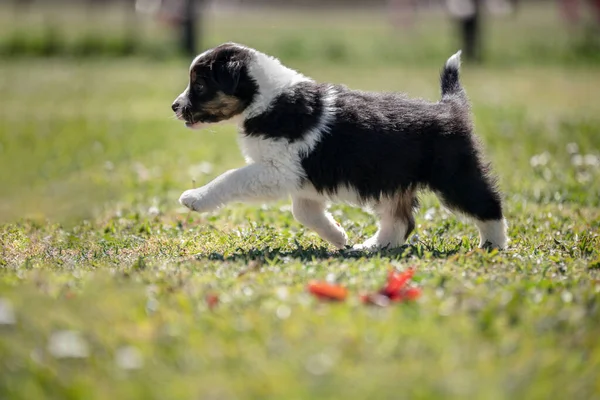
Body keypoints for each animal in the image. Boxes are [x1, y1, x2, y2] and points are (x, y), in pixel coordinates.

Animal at [171, 43, 508, 250]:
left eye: (199, 85)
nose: (174, 107)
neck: (266, 100)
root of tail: (448, 107)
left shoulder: (277, 170)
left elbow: (230, 177)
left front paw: (195, 198)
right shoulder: (299, 178)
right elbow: (304, 212)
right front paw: (337, 236)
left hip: (454, 176)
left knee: (488, 204)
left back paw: (493, 246)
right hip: (392, 182)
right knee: (400, 220)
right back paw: (372, 246)